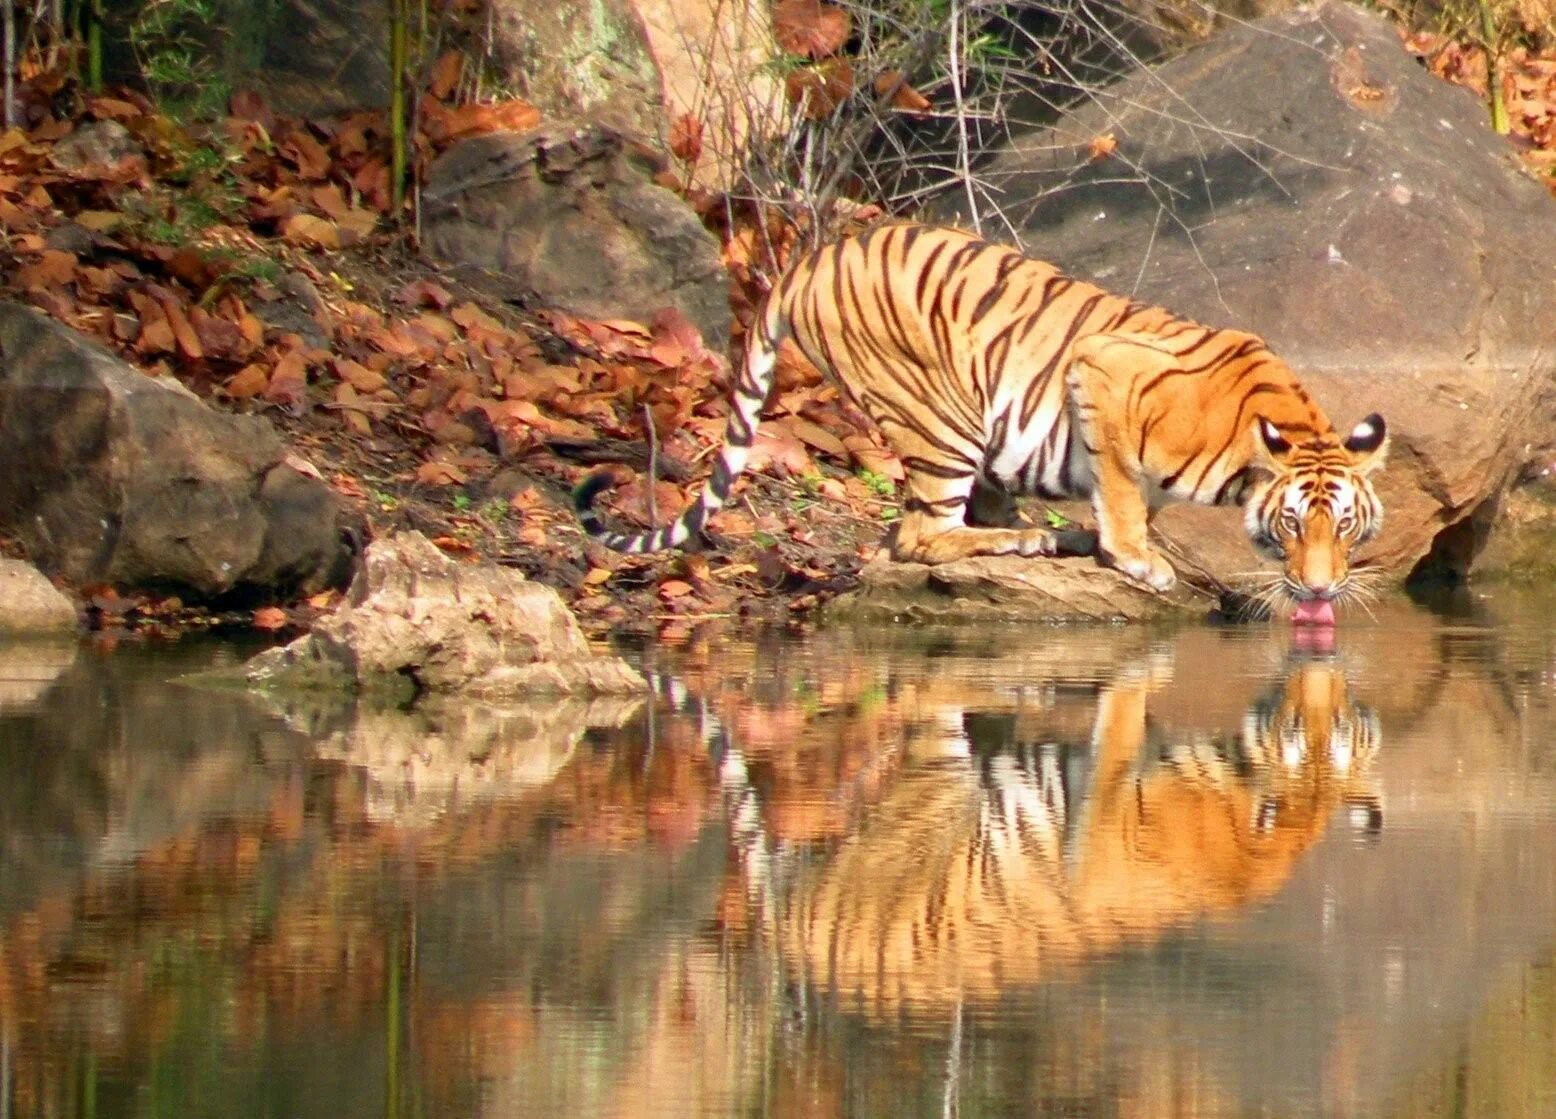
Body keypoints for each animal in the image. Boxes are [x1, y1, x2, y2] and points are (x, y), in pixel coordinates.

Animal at [575, 222, 1387, 613]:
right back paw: (1029, 540)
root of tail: (814, 256)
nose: (1322, 592)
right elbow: (1123, 489)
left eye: (1344, 527)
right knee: (920, 536)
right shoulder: (1100, 370)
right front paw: (1139, 559)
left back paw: (1049, 535)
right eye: (1292, 524)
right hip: (942, 416)